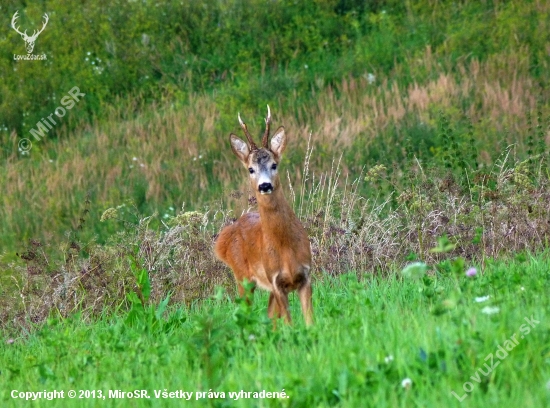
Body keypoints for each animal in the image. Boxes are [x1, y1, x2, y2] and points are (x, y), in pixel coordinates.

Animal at [215, 107, 312, 326]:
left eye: (274, 165)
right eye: (251, 169)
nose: (265, 185)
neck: (285, 249)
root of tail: (224, 238)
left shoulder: (305, 276)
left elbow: (310, 322)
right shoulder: (276, 282)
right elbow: (290, 324)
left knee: (270, 317)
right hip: (243, 277)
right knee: (244, 314)